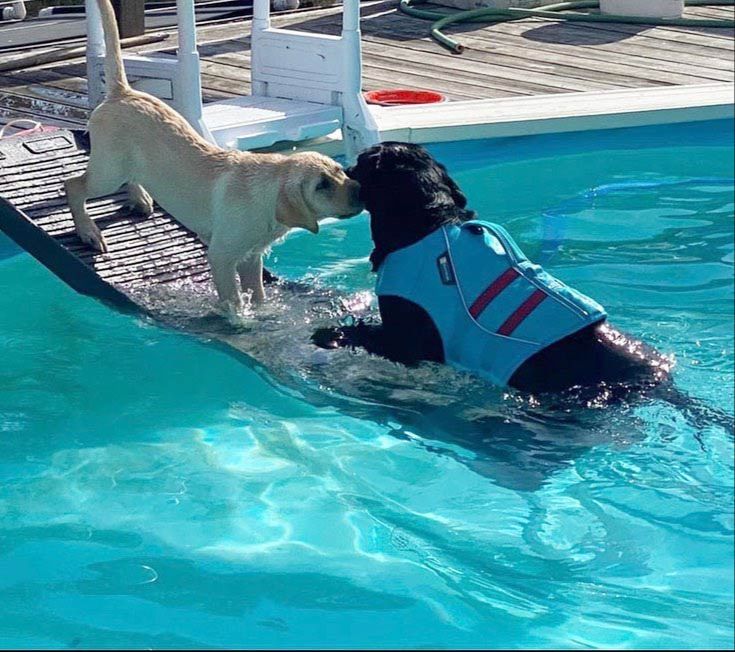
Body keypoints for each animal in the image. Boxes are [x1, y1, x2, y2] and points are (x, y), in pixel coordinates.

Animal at [67, 0, 360, 312]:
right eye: (321, 186)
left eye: (340, 172)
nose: (361, 189)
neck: (266, 195)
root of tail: (122, 92)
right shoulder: (222, 257)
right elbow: (234, 303)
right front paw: (240, 319)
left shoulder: (250, 258)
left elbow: (258, 295)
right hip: (107, 173)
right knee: (73, 186)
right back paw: (88, 231)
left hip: (126, 162)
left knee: (131, 177)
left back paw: (141, 198)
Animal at [310, 143, 672, 394]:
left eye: (360, 162)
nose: (344, 168)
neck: (428, 223)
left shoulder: (409, 339)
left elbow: (369, 333)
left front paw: (331, 333)